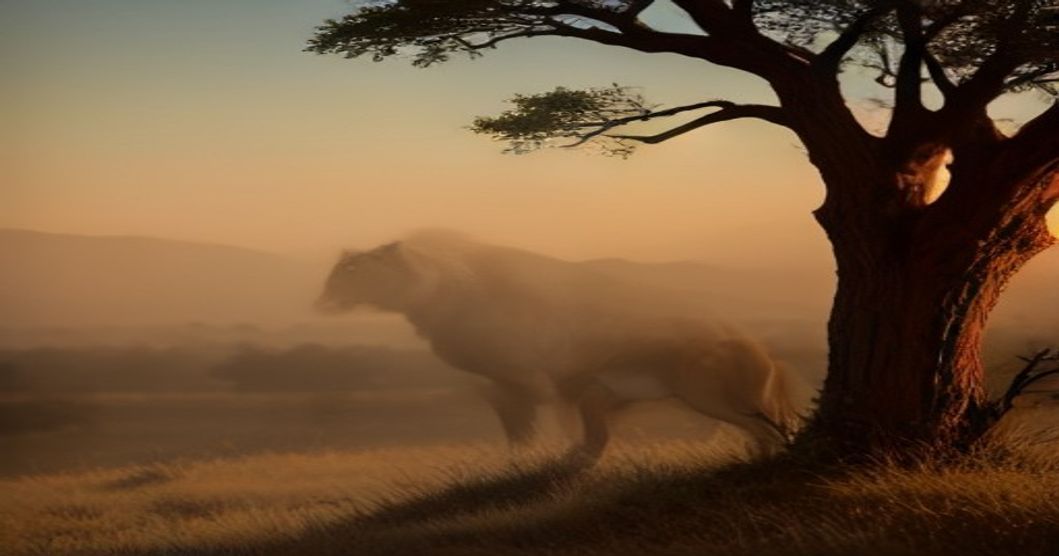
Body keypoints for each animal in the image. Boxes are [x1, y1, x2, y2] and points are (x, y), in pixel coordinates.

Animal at [316, 232, 802, 460]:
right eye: (338, 271)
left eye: (355, 271)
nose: (323, 300)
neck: (439, 295)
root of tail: (766, 353)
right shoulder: (545, 384)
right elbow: (531, 428)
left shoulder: (538, 379)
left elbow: (547, 424)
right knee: (766, 431)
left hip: (708, 395)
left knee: (767, 430)